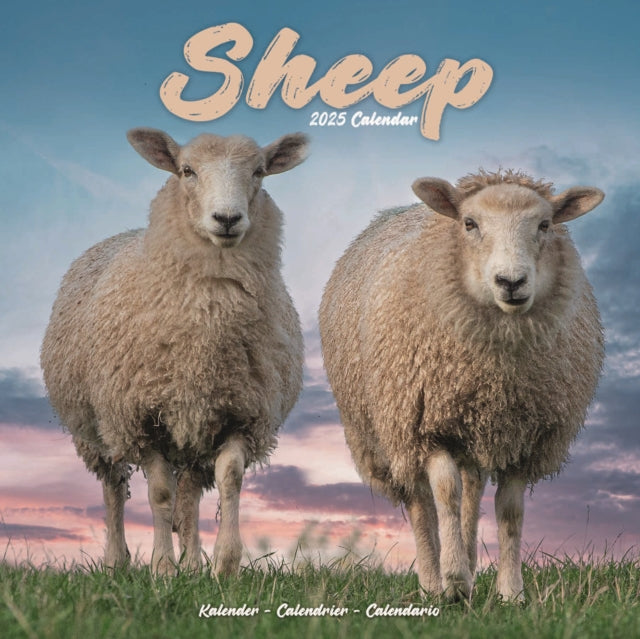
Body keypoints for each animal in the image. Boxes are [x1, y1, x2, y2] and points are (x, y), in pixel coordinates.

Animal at [41, 127, 309, 575]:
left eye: (259, 171)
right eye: (187, 171)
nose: (227, 219)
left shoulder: (241, 414)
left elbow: (229, 479)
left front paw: (224, 566)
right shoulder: (141, 419)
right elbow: (160, 494)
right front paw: (163, 568)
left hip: (195, 434)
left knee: (190, 496)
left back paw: (194, 566)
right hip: (99, 429)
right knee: (114, 486)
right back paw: (117, 561)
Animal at [319, 169, 605, 601]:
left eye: (545, 224)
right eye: (469, 224)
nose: (511, 282)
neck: (496, 370)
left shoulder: (524, 435)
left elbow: (509, 511)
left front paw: (510, 591)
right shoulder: (429, 425)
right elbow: (445, 495)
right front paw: (452, 579)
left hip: (472, 430)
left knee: (472, 492)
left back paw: (469, 566)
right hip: (396, 429)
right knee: (421, 503)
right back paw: (432, 581)